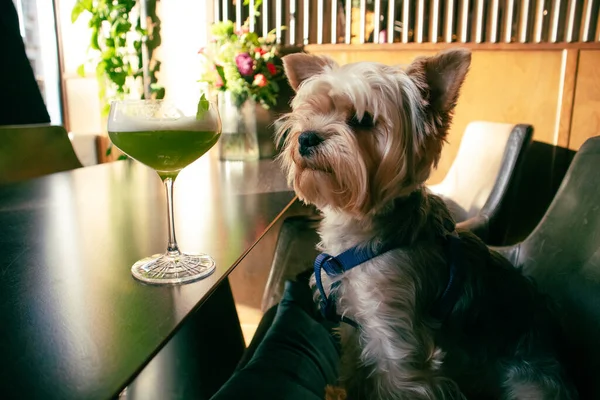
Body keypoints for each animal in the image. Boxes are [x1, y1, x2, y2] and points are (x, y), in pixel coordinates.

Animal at [276, 50, 576, 400]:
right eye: (312, 113)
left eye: (362, 120)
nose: (306, 137)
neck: (361, 224)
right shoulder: (355, 322)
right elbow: (354, 369)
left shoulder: (394, 339)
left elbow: (397, 379)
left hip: (530, 385)